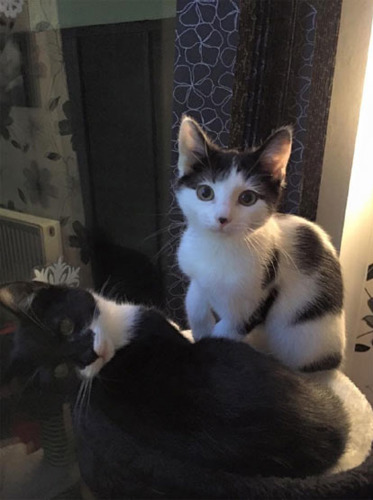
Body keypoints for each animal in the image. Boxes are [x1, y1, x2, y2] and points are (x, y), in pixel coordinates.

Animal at [176, 116, 344, 372]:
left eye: (248, 198)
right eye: (205, 192)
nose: (222, 219)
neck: (219, 247)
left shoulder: (260, 295)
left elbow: (225, 332)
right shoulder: (197, 275)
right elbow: (194, 303)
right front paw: (199, 330)